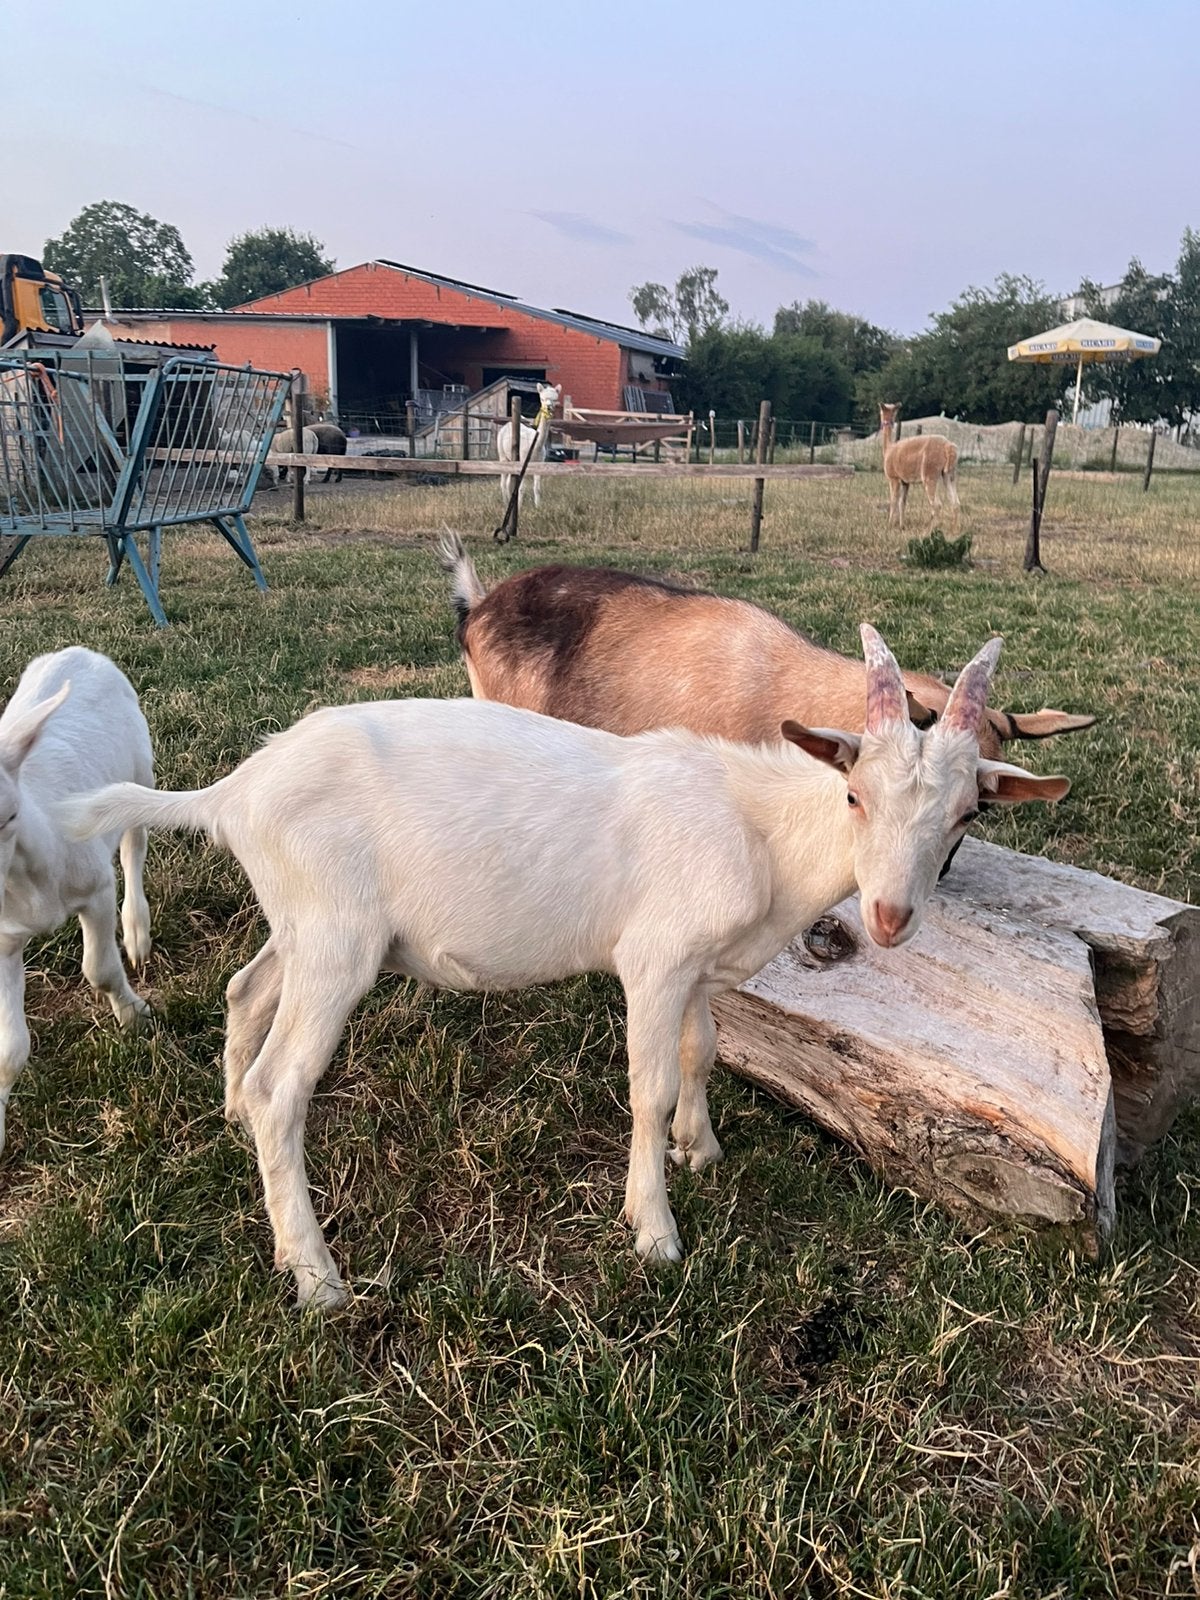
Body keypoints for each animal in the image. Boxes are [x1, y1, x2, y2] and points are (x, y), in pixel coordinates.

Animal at [0, 648, 153, 1155]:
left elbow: (100, 970)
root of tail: (76, 652)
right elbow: (8, 1048)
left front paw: (134, 1017)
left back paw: (138, 932)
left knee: (133, 847)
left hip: (139, 766)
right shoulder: (2, 940)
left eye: (9, 816)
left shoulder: (95, 890)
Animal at [58, 630, 1066, 1309]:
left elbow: (700, 1052)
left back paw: (230, 1113)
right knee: (284, 1087)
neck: (760, 824)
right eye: (854, 794)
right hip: (339, 943)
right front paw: (653, 1229)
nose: (891, 918)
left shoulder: (698, 969)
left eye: (970, 813)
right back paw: (314, 1273)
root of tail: (235, 792)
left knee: (245, 988)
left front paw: (701, 1148)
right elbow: (649, 1084)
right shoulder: (654, 959)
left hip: (310, 925)